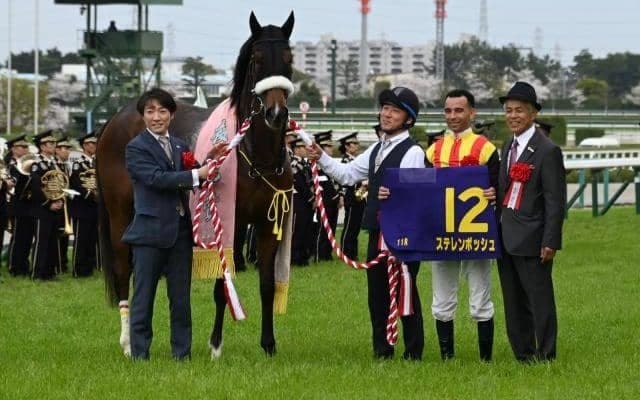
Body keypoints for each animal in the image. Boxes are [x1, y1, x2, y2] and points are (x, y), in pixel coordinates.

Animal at [96, 11, 295, 357]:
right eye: (257, 59)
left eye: (288, 57)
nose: (276, 113)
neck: (255, 155)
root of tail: (115, 118)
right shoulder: (228, 222)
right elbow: (221, 285)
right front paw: (215, 345)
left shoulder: (268, 224)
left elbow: (267, 285)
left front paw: (268, 344)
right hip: (119, 213)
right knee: (124, 268)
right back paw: (128, 343)